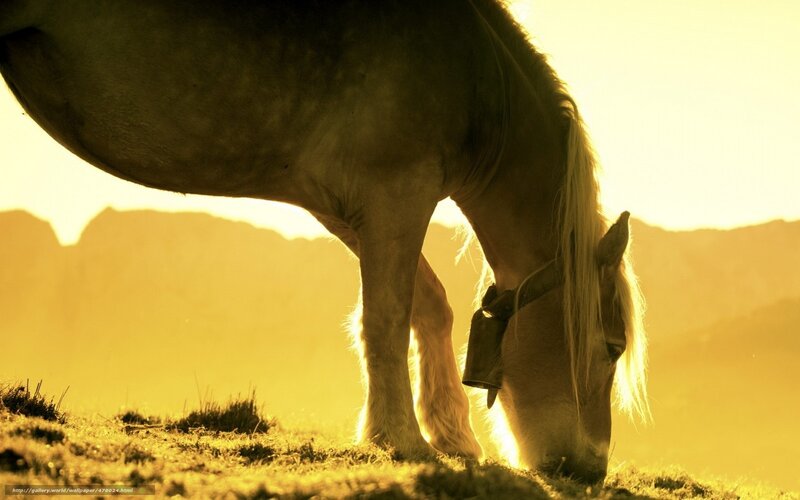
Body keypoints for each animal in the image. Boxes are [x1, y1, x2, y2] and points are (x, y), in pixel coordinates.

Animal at [0, 0, 648, 483]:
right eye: (613, 346)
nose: (591, 470)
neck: (469, 73)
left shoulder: (351, 210)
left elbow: (425, 304)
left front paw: (450, 432)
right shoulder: (397, 194)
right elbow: (387, 316)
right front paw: (404, 439)